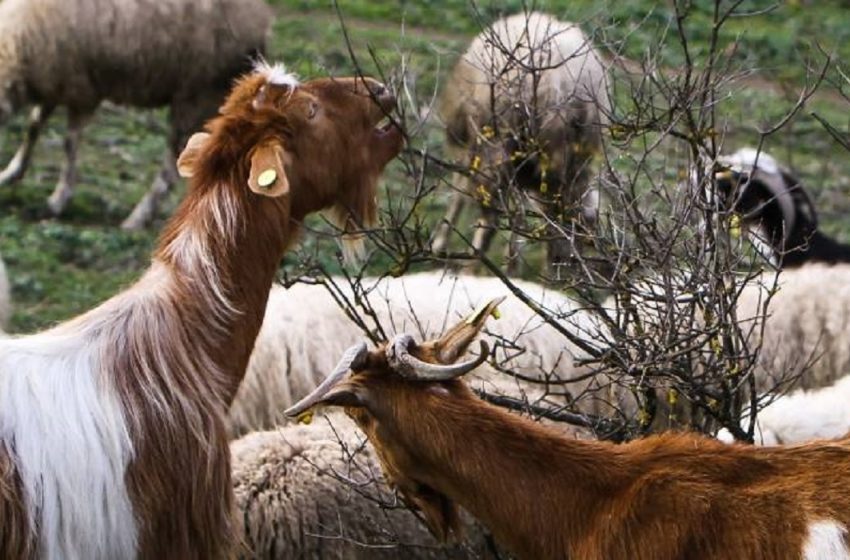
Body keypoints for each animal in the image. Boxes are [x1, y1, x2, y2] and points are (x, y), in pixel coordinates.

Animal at [0, 0, 270, 230]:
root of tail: (262, 23)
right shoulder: (55, 83)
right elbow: (34, 126)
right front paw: (11, 172)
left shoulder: (82, 91)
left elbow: (69, 144)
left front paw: (58, 199)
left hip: (197, 95)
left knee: (172, 165)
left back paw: (138, 218)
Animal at [434, 10, 608, 270]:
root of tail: (561, 86)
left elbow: (461, 190)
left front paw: (440, 244)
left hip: (498, 142)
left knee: (492, 215)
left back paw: (475, 264)